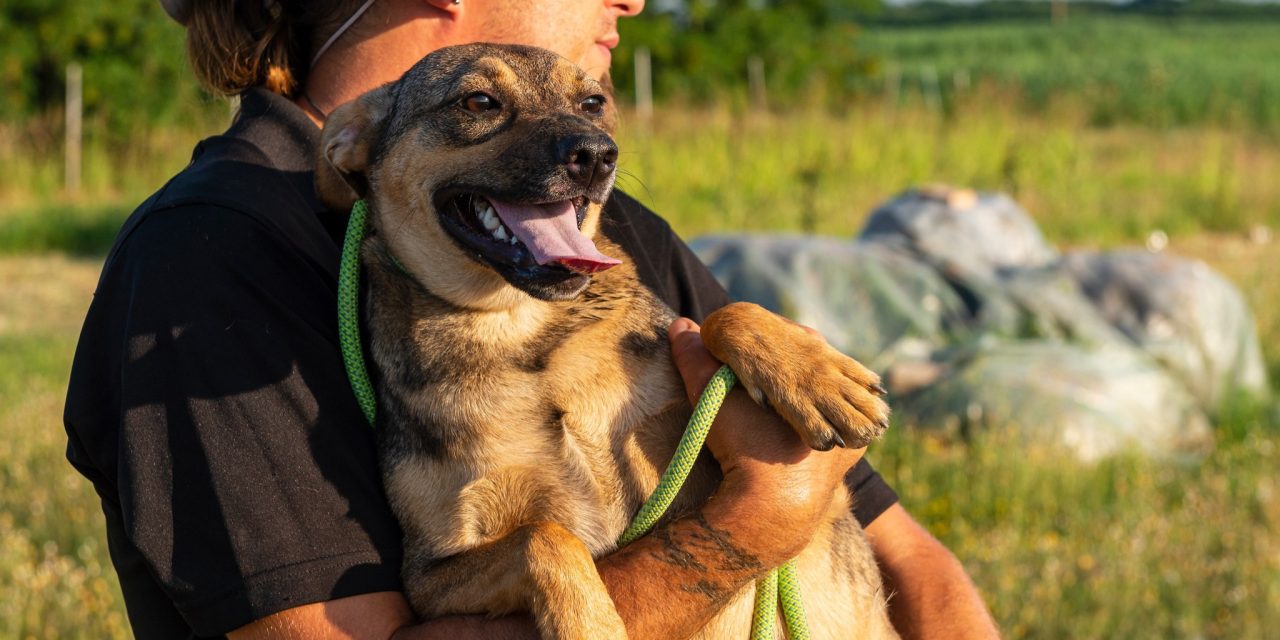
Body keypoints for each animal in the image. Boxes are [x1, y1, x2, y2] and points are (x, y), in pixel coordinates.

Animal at [317, 42, 901, 637]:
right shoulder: (430, 575)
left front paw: (816, 377)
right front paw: (590, 622)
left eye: (592, 103)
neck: (525, 337)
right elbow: (543, 539)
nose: (597, 154)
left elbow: (718, 314)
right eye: (478, 101)